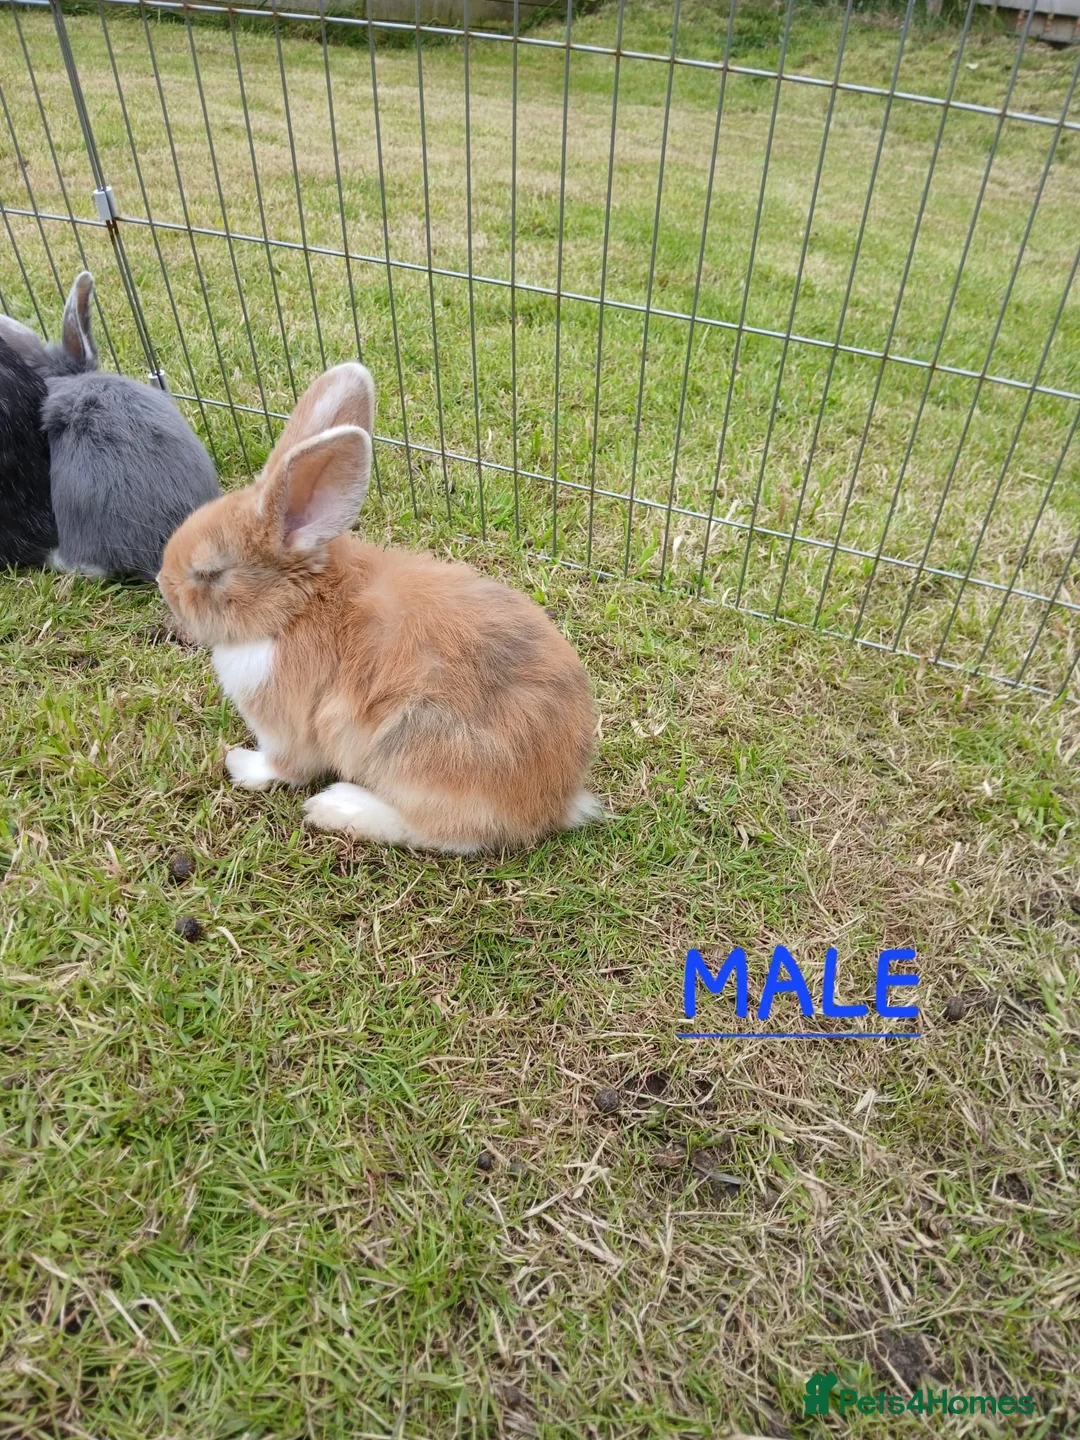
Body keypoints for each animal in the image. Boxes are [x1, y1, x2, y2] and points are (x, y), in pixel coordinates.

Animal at [157, 362, 603, 854]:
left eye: (209, 573)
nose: (163, 585)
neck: (293, 609)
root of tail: (556, 799)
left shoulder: (285, 727)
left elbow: (285, 766)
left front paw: (241, 765)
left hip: (418, 753)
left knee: (441, 831)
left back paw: (339, 807)